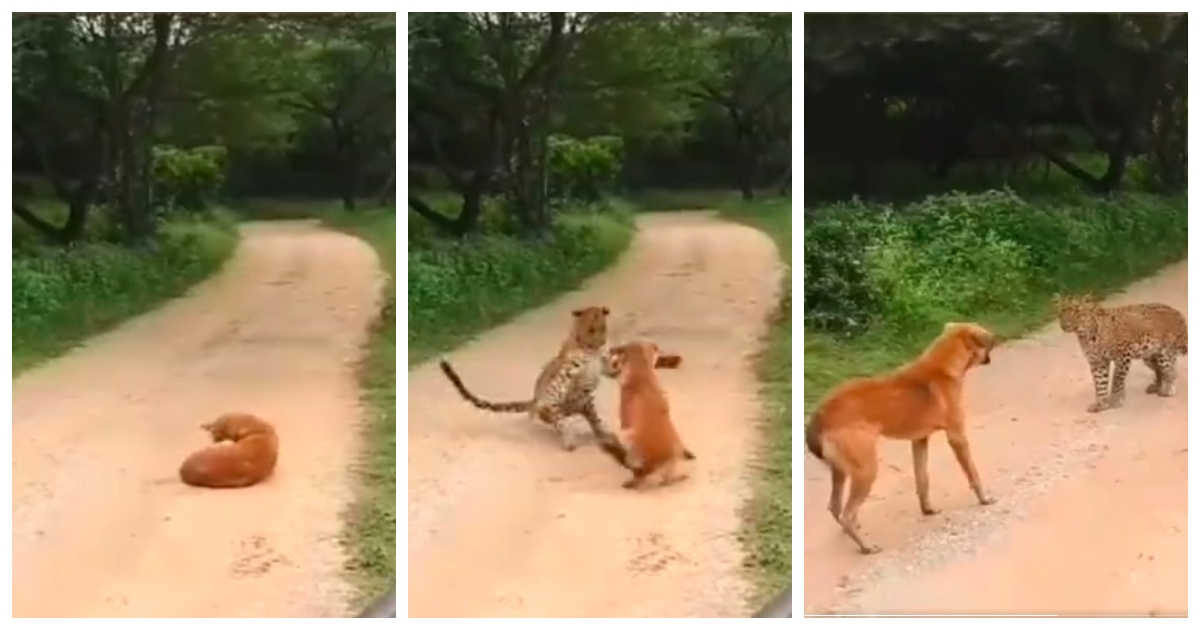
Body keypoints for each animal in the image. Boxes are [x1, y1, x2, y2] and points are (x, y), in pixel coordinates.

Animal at [438, 306, 619, 451]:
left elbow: (612, 370)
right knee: (555, 419)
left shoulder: (605, 366)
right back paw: (567, 439)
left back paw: (603, 434)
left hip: (587, 404)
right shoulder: (564, 374)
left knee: (594, 421)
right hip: (555, 408)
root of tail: (533, 400)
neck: (592, 351)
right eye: (591, 330)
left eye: (603, 328)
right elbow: (562, 381)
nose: (601, 342)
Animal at [1054, 293, 1188, 413]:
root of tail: (1177, 312)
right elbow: (1100, 384)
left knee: (1170, 371)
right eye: (1061, 312)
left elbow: (1117, 380)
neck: (1086, 334)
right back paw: (1156, 387)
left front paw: (1116, 401)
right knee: (1160, 370)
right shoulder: (1097, 362)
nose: (1065, 325)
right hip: (1148, 356)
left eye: (1077, 312)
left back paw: (1167, 390)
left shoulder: (1123, 356)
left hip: (1163, 353)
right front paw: (1101, 405)